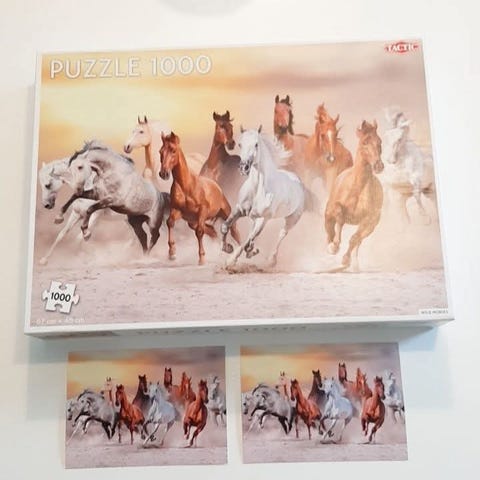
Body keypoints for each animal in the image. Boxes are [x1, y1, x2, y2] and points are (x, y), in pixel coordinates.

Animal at [160, 131, 241, 265]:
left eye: (173, 150)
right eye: (160, 151)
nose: (163, 174)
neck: (187, 186)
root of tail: (217, 187)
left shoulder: (202, 212)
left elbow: (199, 232)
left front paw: (201, 259)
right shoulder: (177, 210)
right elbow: (170, 222)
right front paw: (172, 253)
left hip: (225, 214)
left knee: (235, 233)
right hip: (192, 222)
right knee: (212, 232)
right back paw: (227, 248)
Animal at [221, 126, 316, 268]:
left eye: (256, 144)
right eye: (240, 144)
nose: (244, 168)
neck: (257, 189)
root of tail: (299, 182)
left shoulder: (263, 219)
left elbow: (247, 240)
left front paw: (230, 261)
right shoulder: (239, 209)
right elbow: (225, 227)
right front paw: (227, 248)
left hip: (292, 219)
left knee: (281, 234)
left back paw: (271, 260)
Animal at [324, 120, 384, 271]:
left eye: (379, 141)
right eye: (365, 142)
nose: (379, 166)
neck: (356, 189)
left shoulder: (370, 220)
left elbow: (354, 239)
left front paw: (346, 260)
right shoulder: (331, 212)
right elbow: (338, 219)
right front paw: (333, 246)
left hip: (371, 225)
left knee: (358, 241)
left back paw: (354, 265)